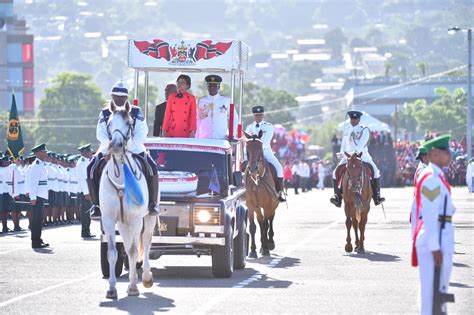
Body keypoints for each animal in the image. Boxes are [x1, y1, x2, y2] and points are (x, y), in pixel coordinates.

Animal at [101, 105, 156, 300]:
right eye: (109, 123)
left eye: (129, 122)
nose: (116, 146)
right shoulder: (108, 219)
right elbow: (112, 252)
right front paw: (111, 288)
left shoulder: (136, 219)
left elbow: (133, 251)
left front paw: (133, 286)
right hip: (123, 223)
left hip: (148, 218)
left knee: (146, 241)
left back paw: (146, 277)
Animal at [244, 130, 278, 258]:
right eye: (247, 148)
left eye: (260, 148)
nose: (253, 168)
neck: (257, 179)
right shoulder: (251, 205)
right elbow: (253, 226)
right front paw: (253, 250)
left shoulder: (268, 205)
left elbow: (266, 225)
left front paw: (266, 248)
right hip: (258, 207)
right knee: (261, 221)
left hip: (272, 206)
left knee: (270, 221)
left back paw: (269, 243)